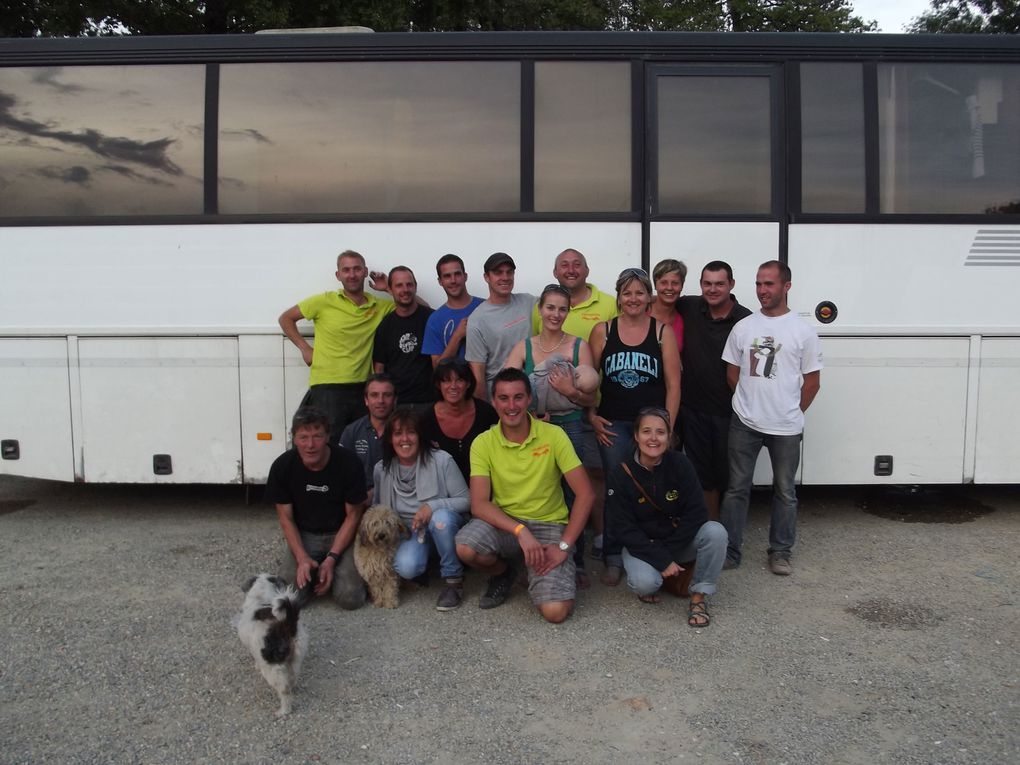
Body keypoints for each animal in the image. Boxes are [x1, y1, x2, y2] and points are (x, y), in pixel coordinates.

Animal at [235, 575, 308, 718]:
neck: (261, 598)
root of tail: (287, 626)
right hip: (295, 660)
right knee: (292, 679)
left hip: (273, 668)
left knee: (284, 690)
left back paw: (283, 711)